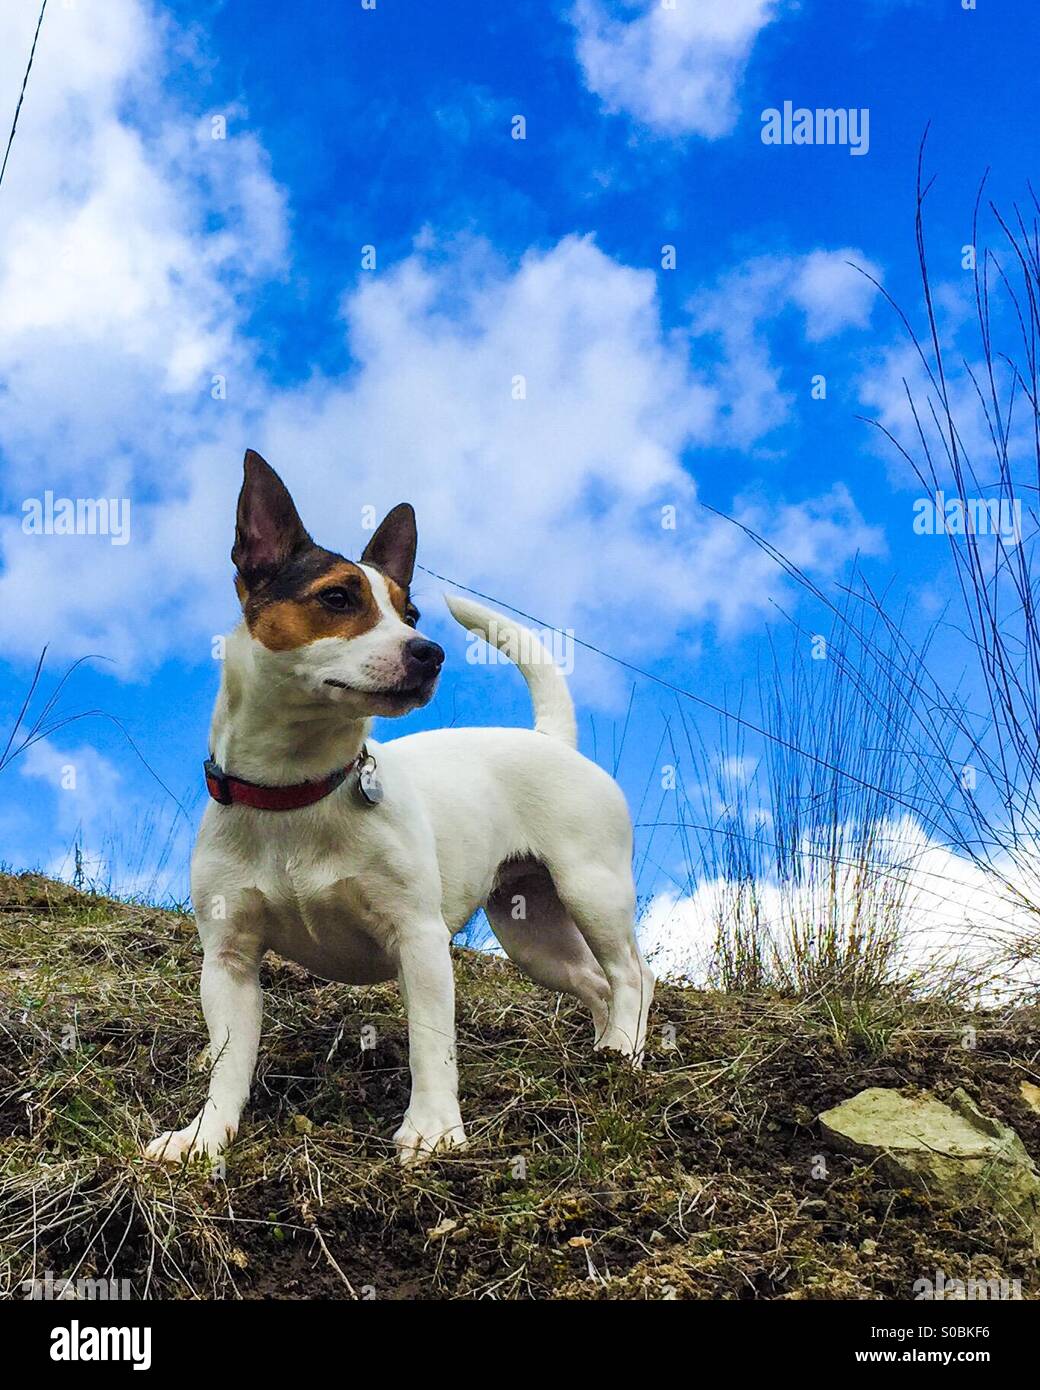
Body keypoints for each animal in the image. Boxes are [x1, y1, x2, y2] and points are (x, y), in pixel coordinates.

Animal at [145, 453, 653, 1162]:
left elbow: (430, 1045)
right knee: (598, 983)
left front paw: (434, 1130)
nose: (429, 651)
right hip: (532, 932)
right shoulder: (228, 961)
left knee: (632, 973)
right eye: (337, 597)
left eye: (410, 612)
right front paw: (205, 1134)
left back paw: (627, 1051)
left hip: (592, 890)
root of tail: (552, 739)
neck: (300, 786)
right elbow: (228, 1061)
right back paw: (602, 1055)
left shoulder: (419, 940)